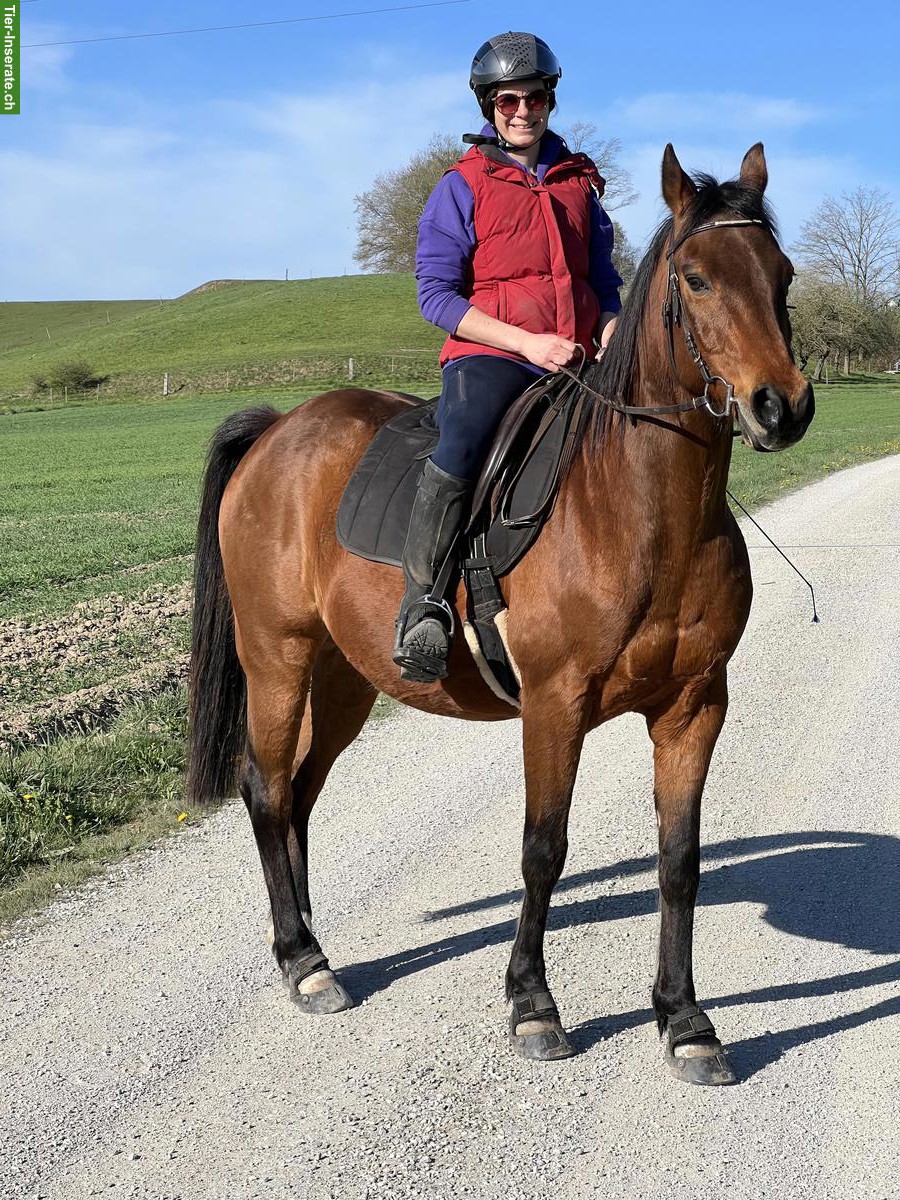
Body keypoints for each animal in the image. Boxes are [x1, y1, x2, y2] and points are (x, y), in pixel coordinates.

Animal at [187, 143, 813, 1083]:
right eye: (698, 279)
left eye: (782, 274)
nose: (783, 405)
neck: (639, 512)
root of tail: (277, 431)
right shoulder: (555, 705)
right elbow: (543, 850)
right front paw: (532, 1005)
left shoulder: (695, 704)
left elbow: (680, 859)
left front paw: (685, 1020)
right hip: (279, 657)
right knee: (264, 790)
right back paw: (302, 962)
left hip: (345, 678)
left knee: (298, 793)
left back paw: (309, 944)